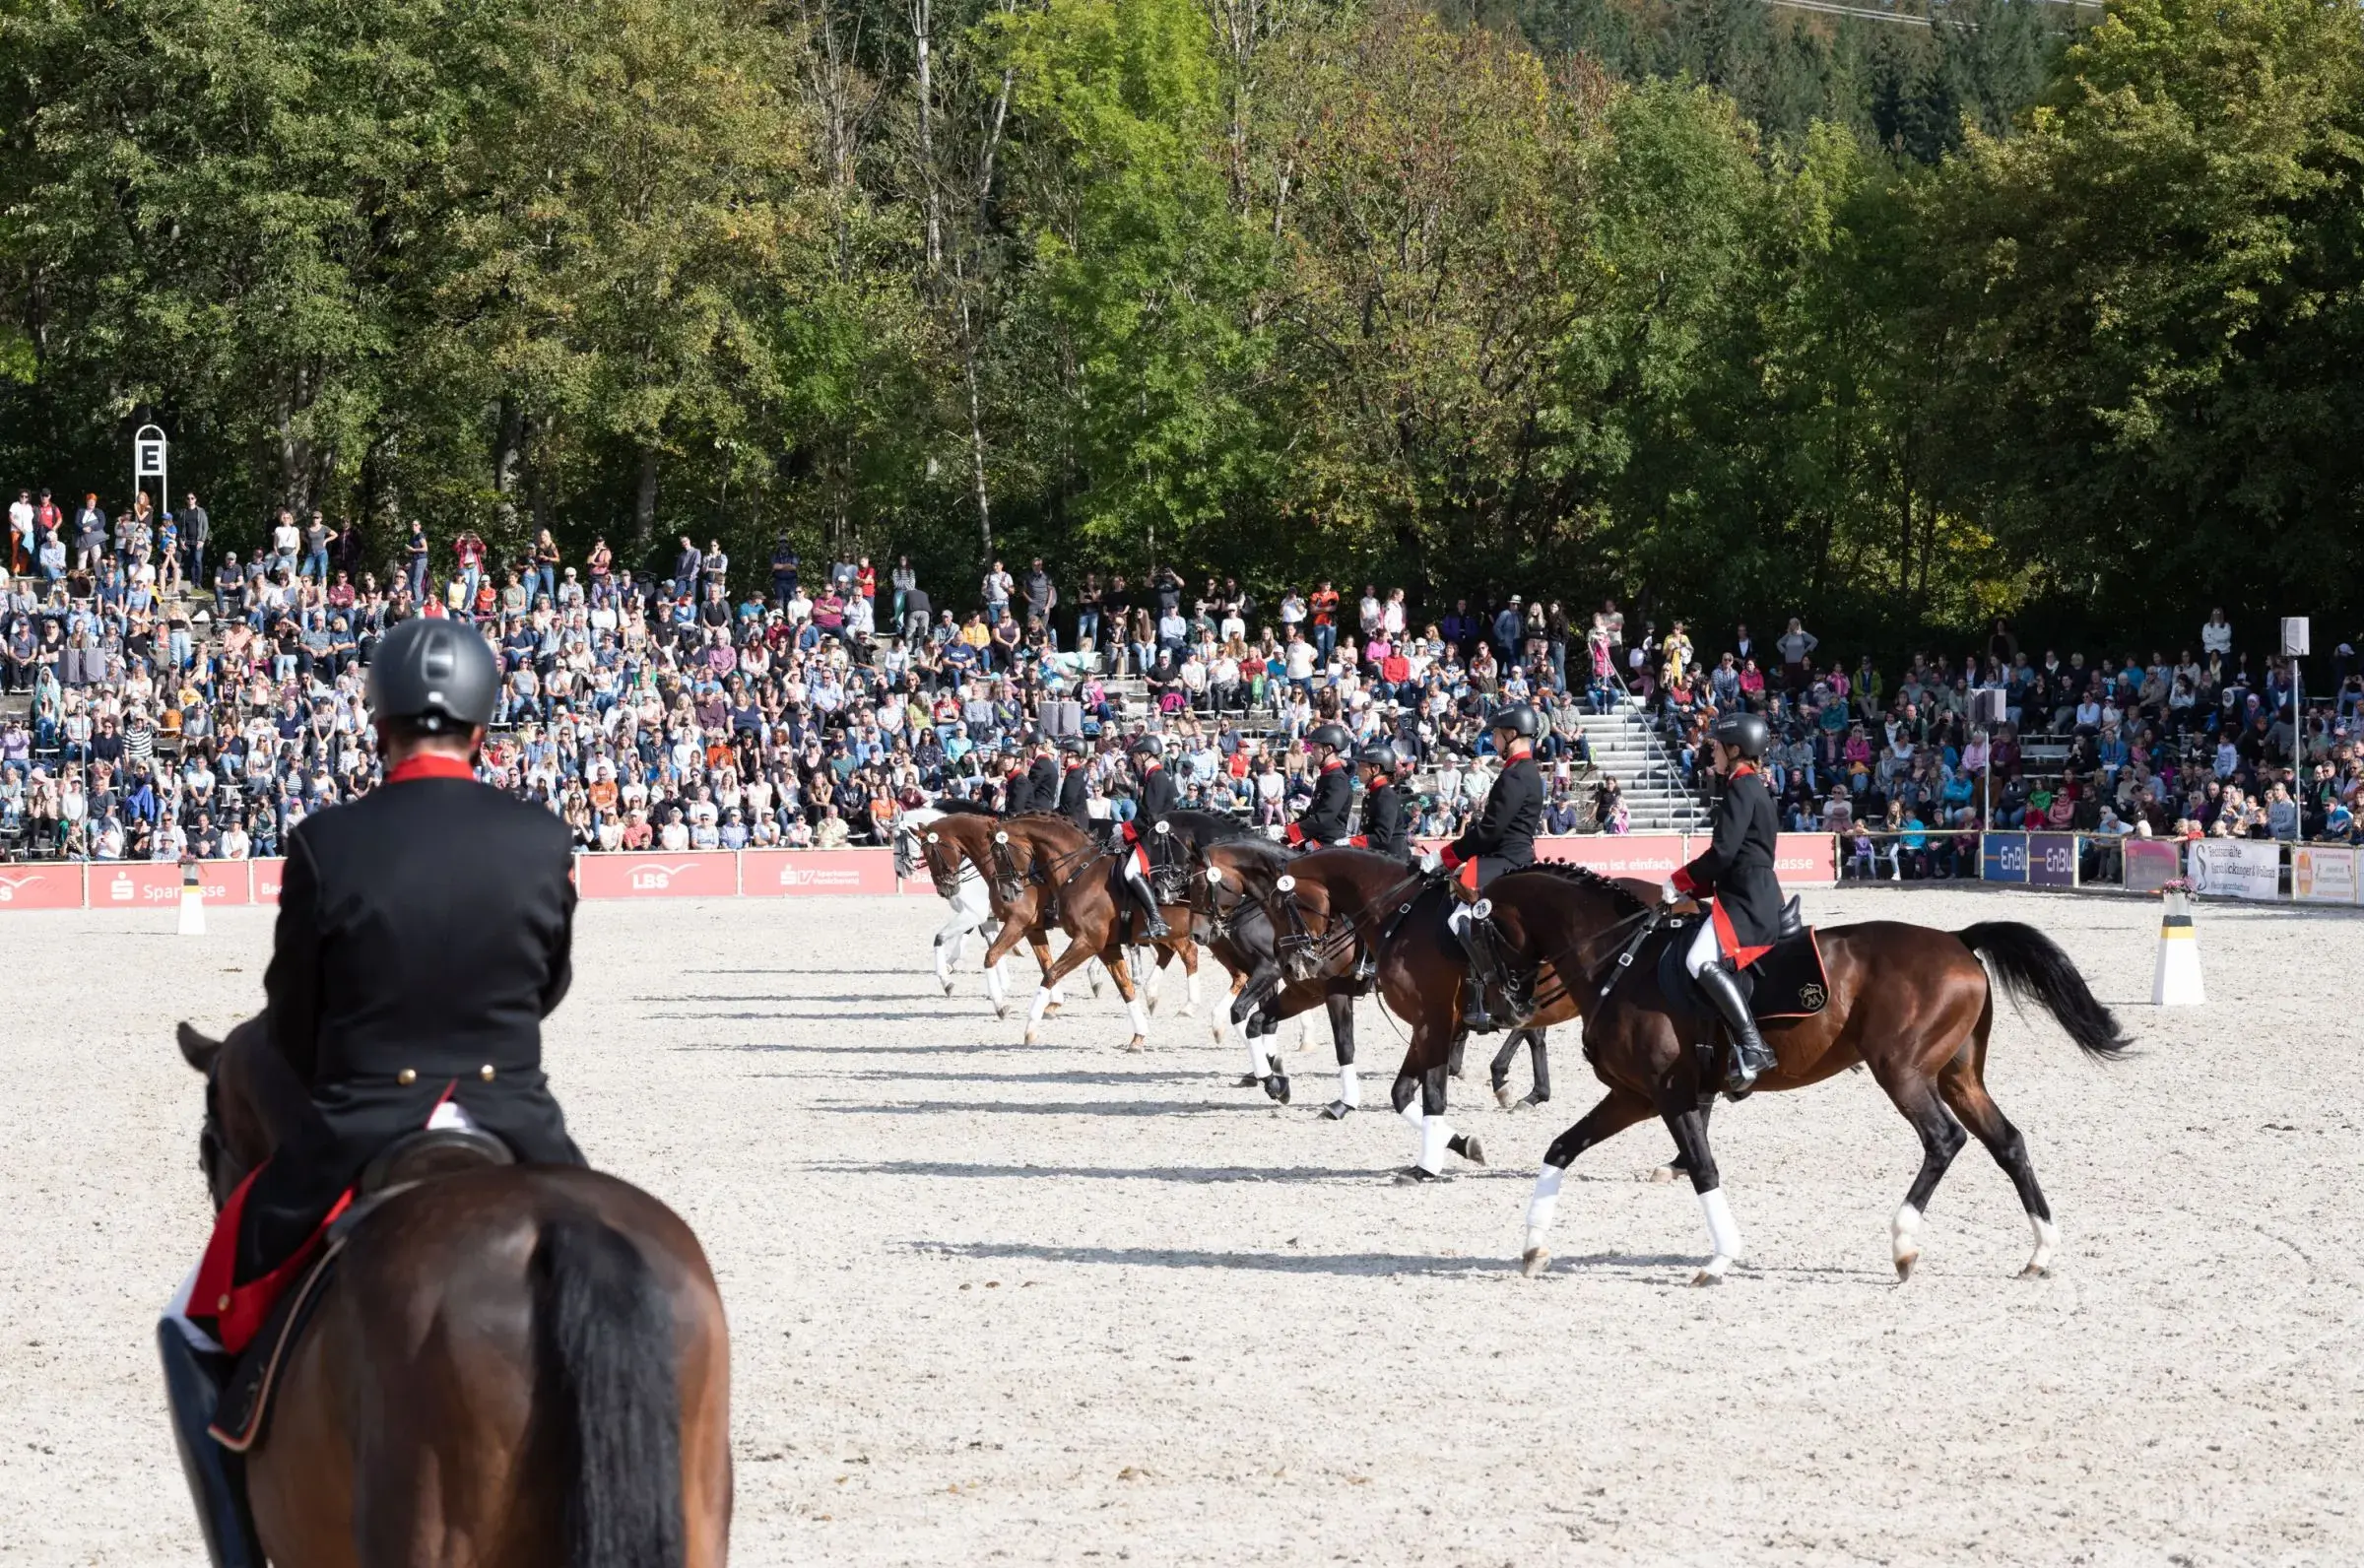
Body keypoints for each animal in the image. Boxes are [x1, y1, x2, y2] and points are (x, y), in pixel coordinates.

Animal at [1493, 870, 2146, 1286]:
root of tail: (1957, 941)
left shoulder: (1668, 1094)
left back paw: (1904, 1244)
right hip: (1958, 1077)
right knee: (2007, 1142)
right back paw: (2040, 1252)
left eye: (1484, 930)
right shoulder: (1633, 1095)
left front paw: (1718, 1260)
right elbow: (1561, 1148)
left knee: (1944, 1140)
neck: (1624, 963)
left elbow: (1703, 1168)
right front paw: (1532, 1247)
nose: (1506, 1006)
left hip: (1903, 1072)